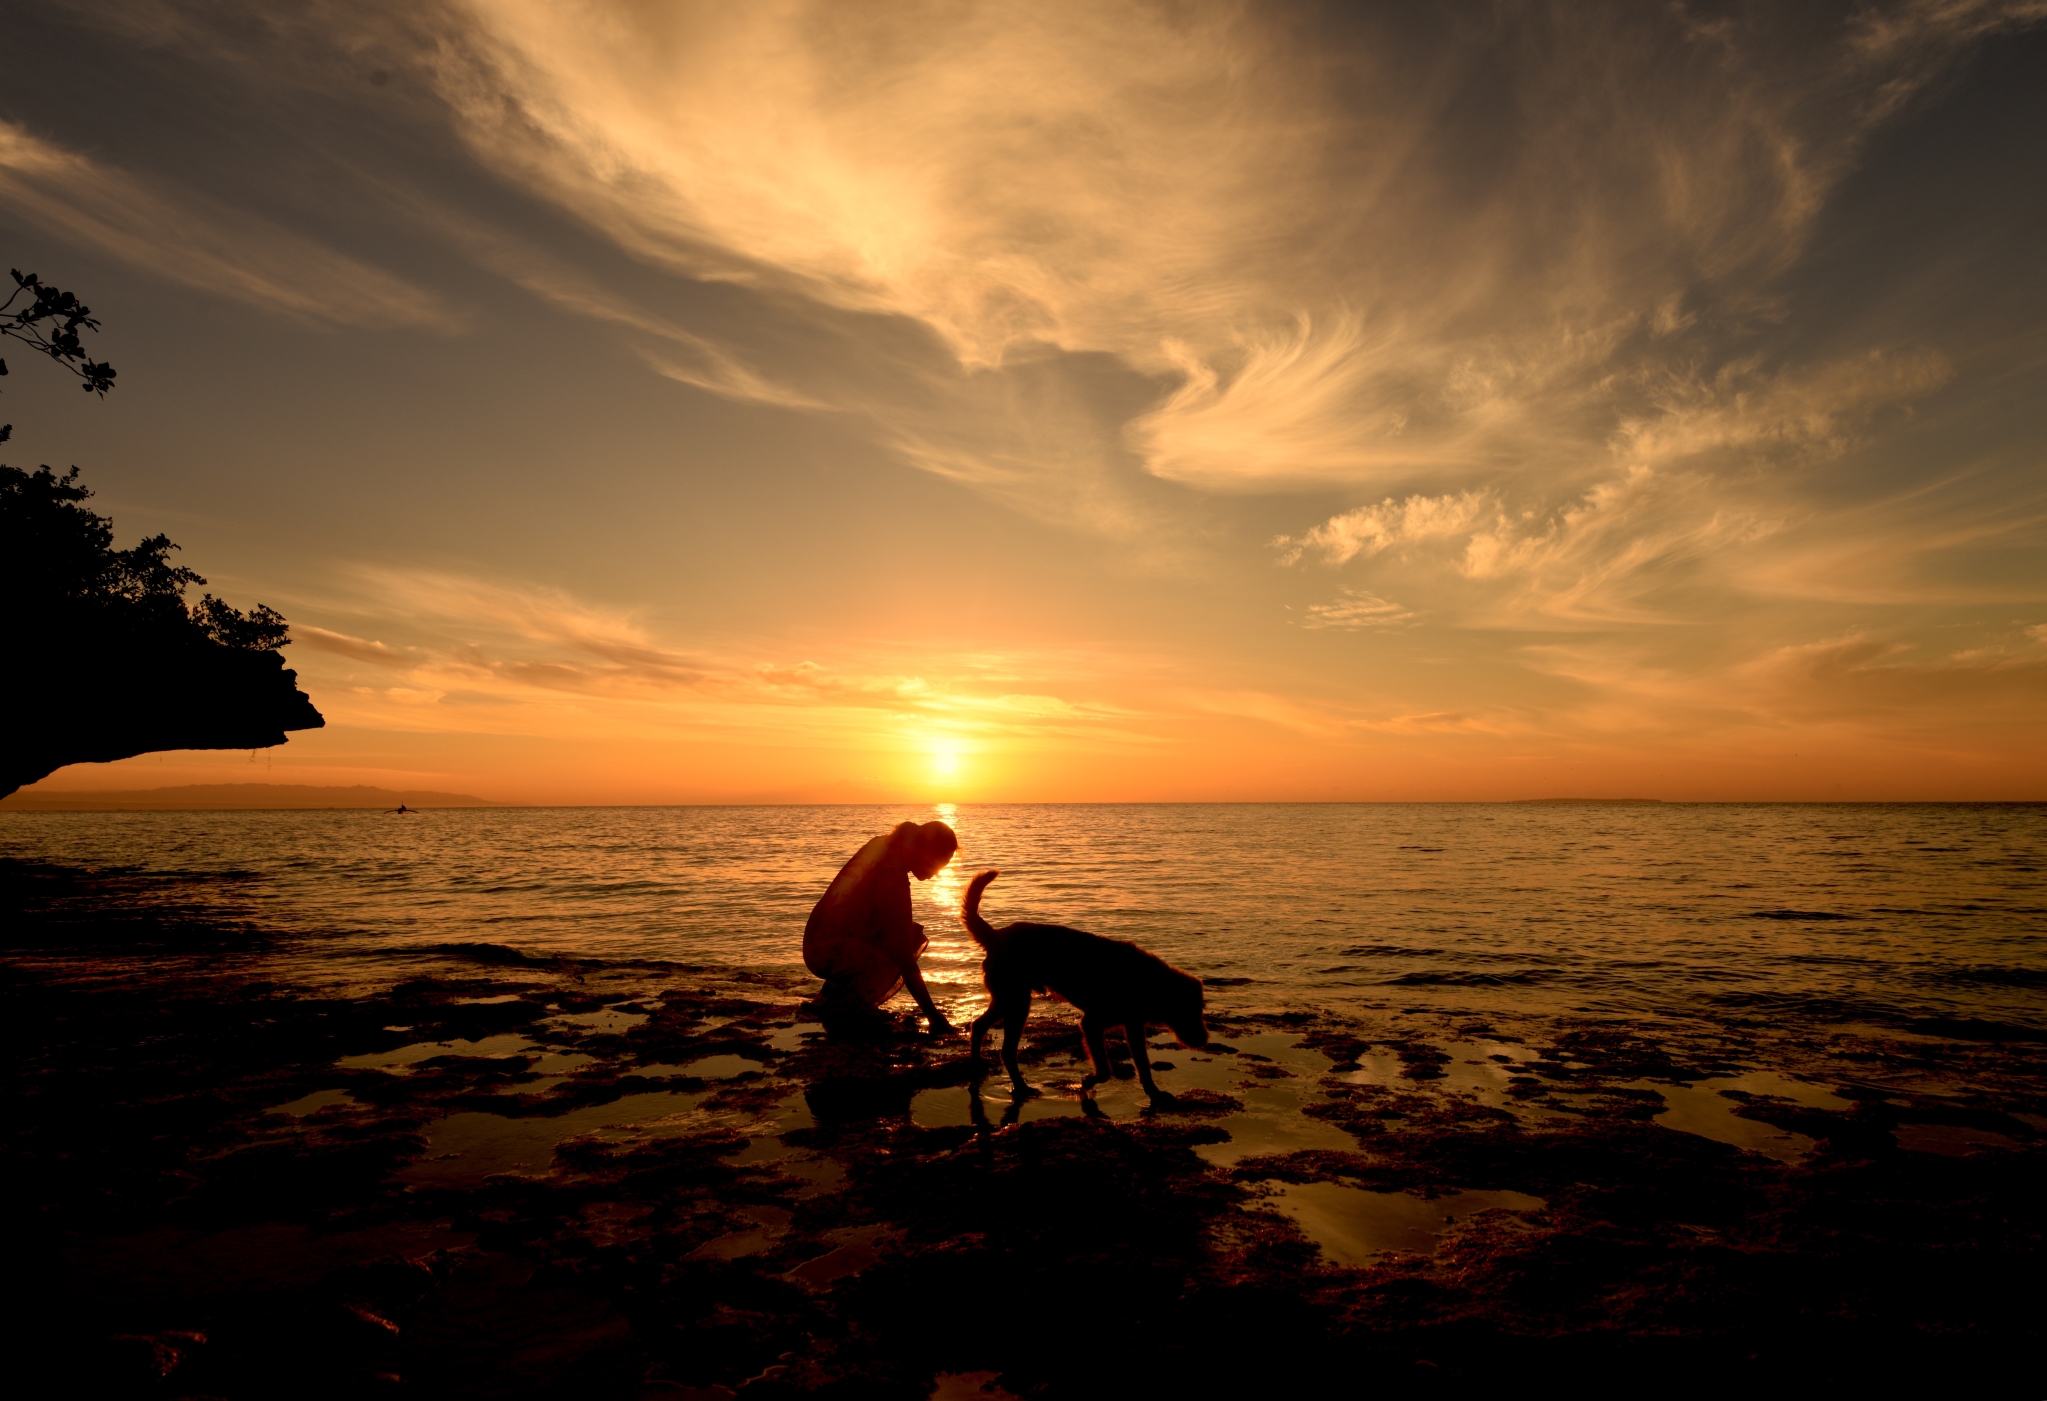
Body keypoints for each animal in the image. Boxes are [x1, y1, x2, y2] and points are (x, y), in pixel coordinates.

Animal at [957, 864, 1195, 1106]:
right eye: (1187, 1008)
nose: (1203, 1039)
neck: (1147, 980)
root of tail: (995, 936)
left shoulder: (1133, 1027)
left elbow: (1144, 1068)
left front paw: (1154, 1093)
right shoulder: (1092, 1023)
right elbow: (1104, 1070)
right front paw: (1087, 1082)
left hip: (1007, 1001)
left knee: (978, 1026)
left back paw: (978, 1067)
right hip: (1017, 1002)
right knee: (1006, 1050)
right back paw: (1021, 1087)